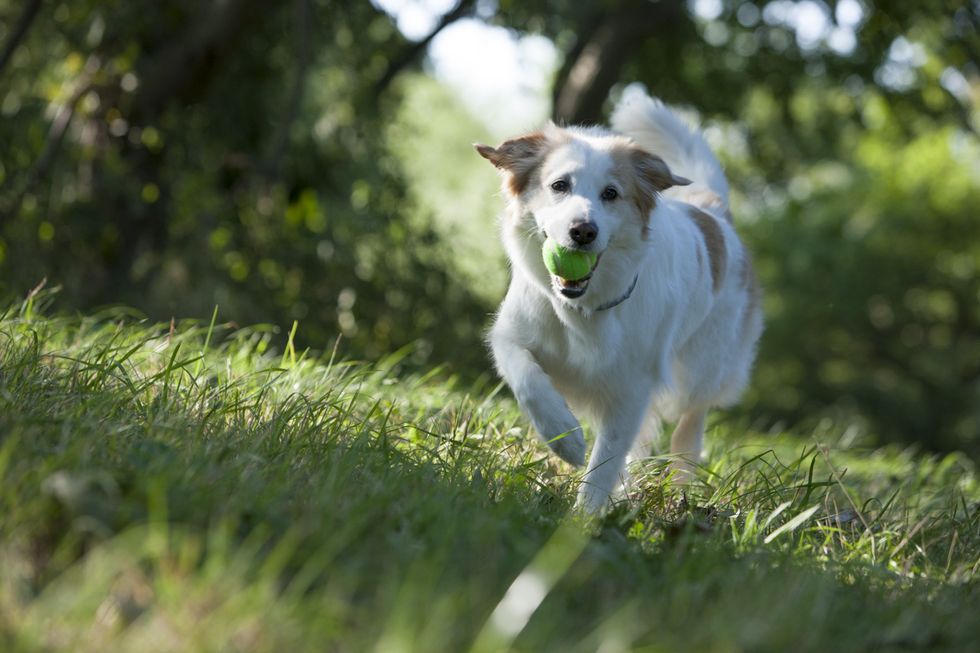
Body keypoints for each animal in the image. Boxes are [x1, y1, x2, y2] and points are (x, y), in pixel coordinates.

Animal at [474, 88, 764, 516]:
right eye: (559, 185)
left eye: (611, 193)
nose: (583, 231)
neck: (582, 310)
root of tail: (713, 212)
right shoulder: (511, 335)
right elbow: (528, 380)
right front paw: (565, 437)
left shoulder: (633, 388)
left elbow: (604, 463)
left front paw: (584, 517)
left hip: (702, 370)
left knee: (689, 426)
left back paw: (680, 487)